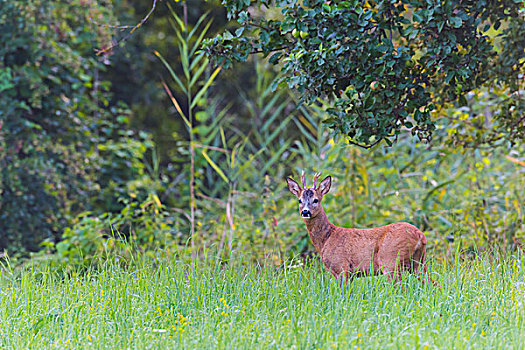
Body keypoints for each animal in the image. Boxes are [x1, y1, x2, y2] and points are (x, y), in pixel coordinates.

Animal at [286, 172, 430, 284]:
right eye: (299, 200)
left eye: (316, 200)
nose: (305, 212)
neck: (326, 239)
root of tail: (420, 235)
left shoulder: (341, 266)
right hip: (418, 261)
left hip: (390, 260)